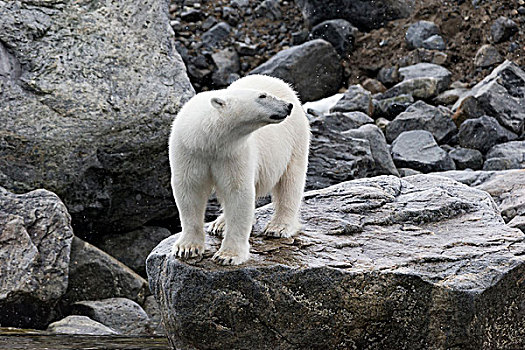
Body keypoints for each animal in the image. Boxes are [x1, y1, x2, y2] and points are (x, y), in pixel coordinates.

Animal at [168, 74, 310, 266]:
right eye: (262, 96)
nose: (287, 106)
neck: (208, 141)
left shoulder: (234, 153)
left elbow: (237, 192)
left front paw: (228, 255)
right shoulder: (189, 151)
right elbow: (190, 190)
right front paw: (187, 248)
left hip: (295, 140)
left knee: (290, 182)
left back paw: (278, 227)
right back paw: (219, 224)